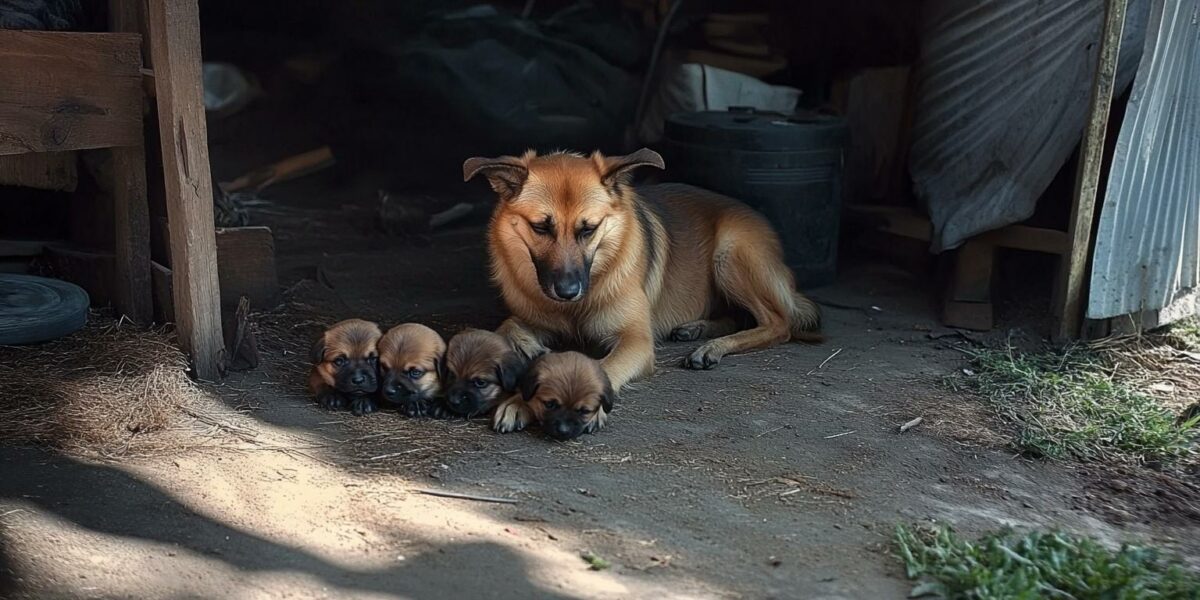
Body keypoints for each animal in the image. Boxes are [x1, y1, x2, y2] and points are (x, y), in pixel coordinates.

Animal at [463, 149, 820, 400]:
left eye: (589, 229)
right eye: (540, 227)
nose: (567, 291)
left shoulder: (635, 340)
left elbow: (605, 366)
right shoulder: (532, 317)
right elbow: (507, 325)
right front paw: (530, 347)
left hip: (730, 253)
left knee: (779, 323)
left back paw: (713, 347)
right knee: (737, 316)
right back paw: (697, 330)